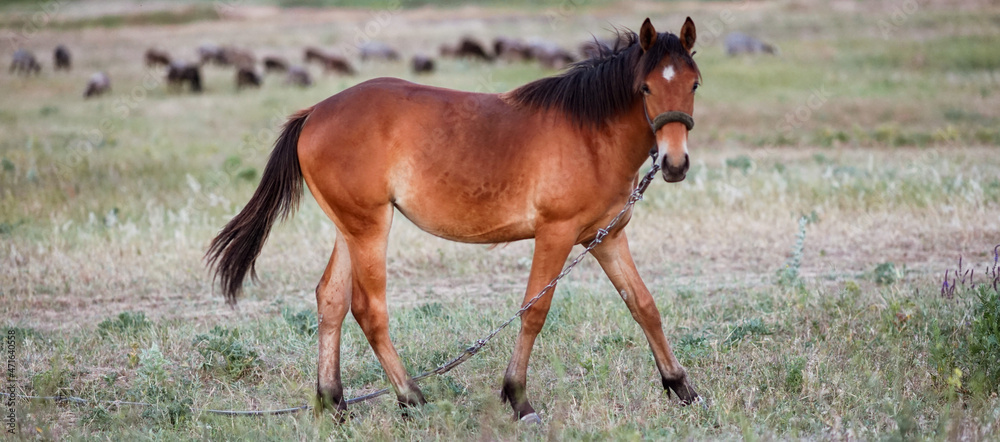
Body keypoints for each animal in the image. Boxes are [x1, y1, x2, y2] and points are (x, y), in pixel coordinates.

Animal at [207, 17, 701, 423]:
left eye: (694, 84)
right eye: (645, 88)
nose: (675, 164)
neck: (590, 136)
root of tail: (313, 113)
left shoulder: (607, 237)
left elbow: (644, 306)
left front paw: (682, 387)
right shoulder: (555, 234)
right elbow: (534, 311)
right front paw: (518, 398)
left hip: (347, 228)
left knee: (330, 300)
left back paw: (335, 403)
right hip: (369, 228)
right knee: (369, 309)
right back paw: (411, 399)